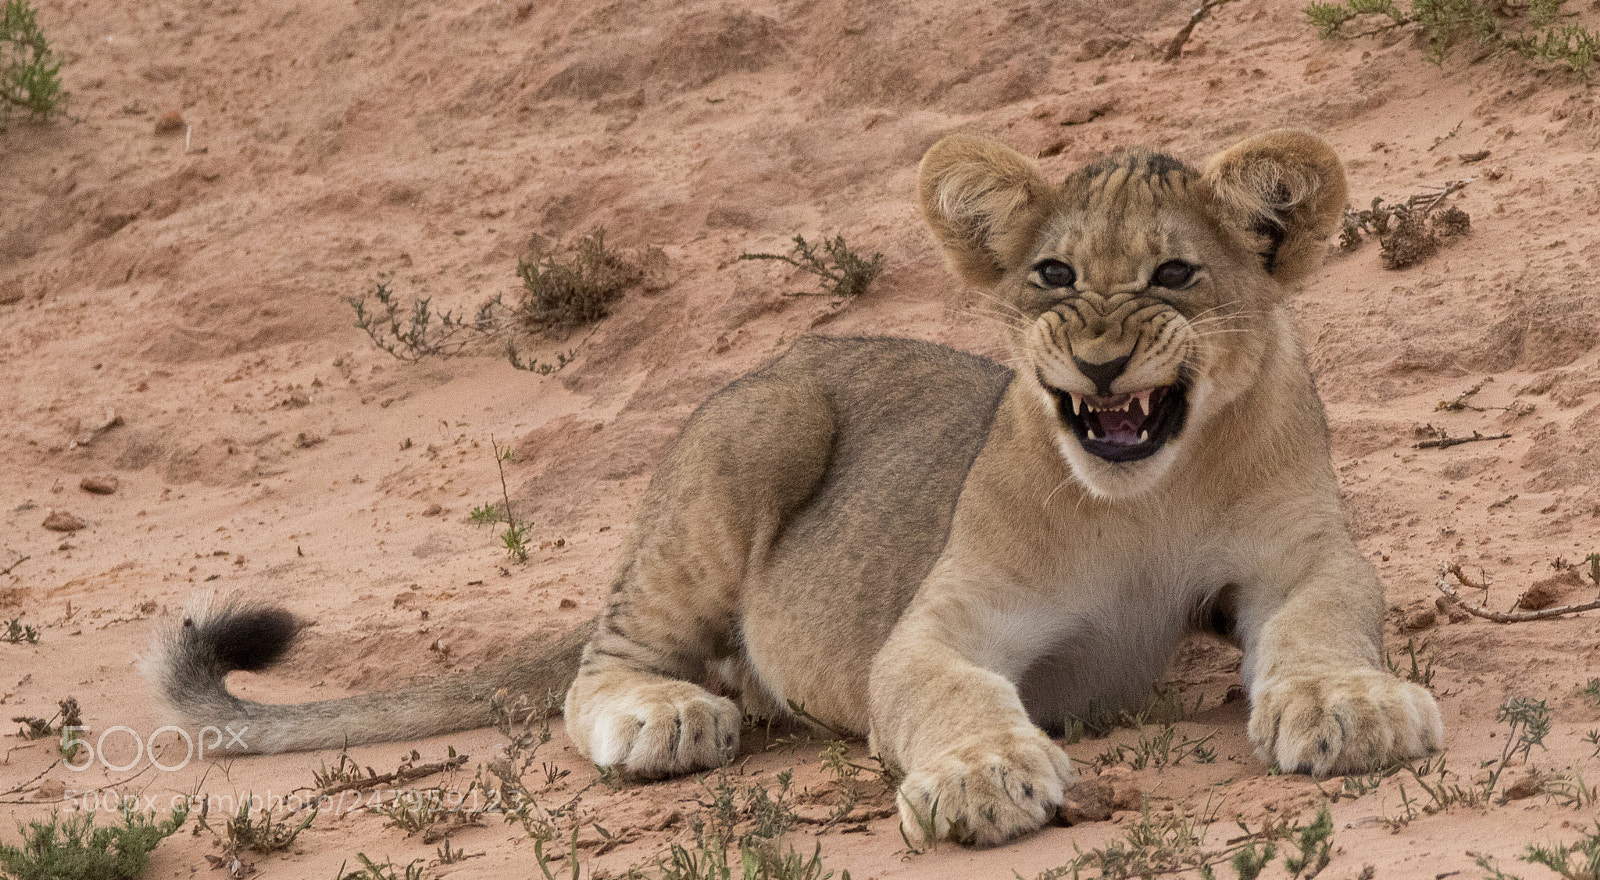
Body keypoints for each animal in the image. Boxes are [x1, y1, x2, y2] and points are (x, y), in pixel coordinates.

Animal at [147, 129, 1443, 848]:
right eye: (1052, 276)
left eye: (1174, 274)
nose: (1099, 365)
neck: (1145, 495)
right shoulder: (938, 624)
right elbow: (948, 695)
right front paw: (981, 779)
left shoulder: (1303, 560)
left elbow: (1326, 625)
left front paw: (1356, 707)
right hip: (757, 432)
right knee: (597, 665)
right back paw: (667, 717)